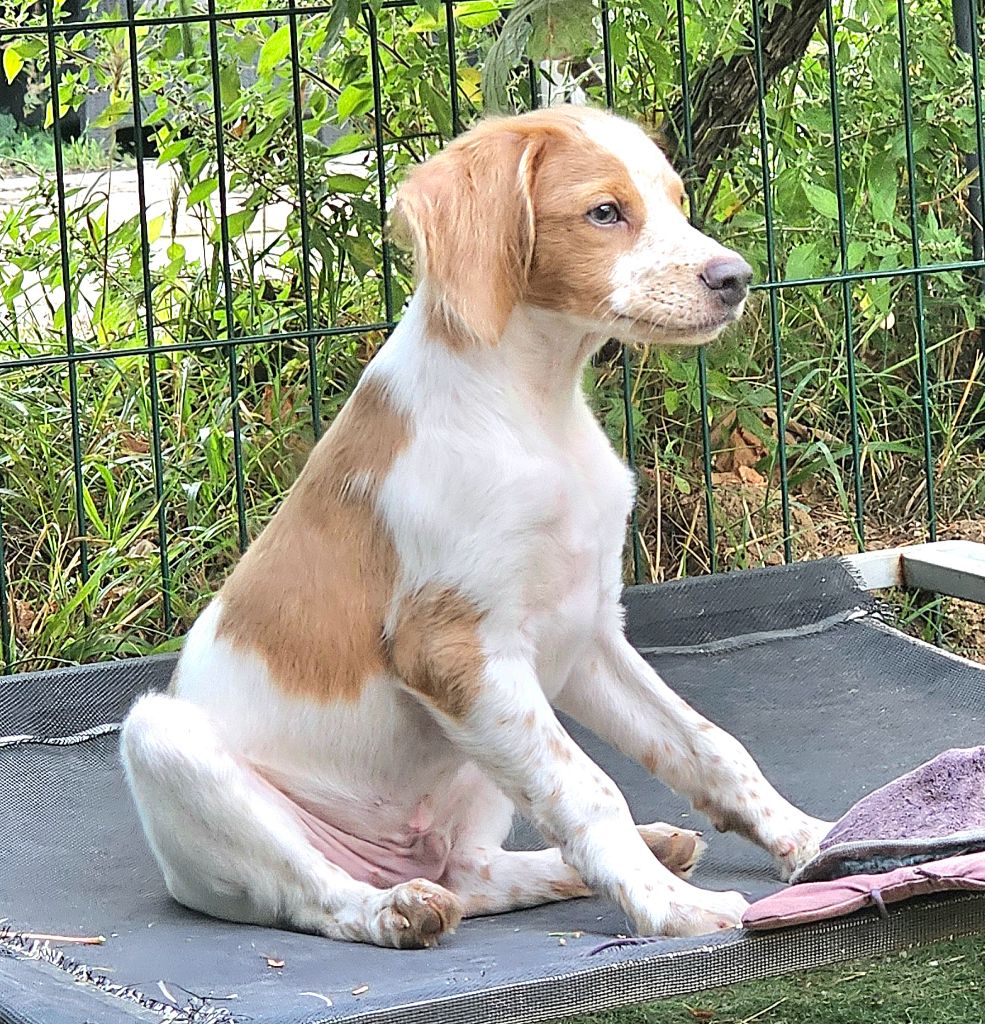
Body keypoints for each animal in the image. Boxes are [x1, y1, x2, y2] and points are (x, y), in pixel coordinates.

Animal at [122, 99, 827, 946]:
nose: (734, 279)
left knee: (475, 871)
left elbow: (709, 746)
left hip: (480, 761)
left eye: (677, 202)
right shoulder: (455, 649)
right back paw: (394, 909)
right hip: (167, 742)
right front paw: (669, 909)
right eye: (604, 212)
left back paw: (646, 849)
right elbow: (589, 790)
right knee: (317, 893)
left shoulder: (585, 636)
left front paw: (809, 838)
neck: (532, 407)